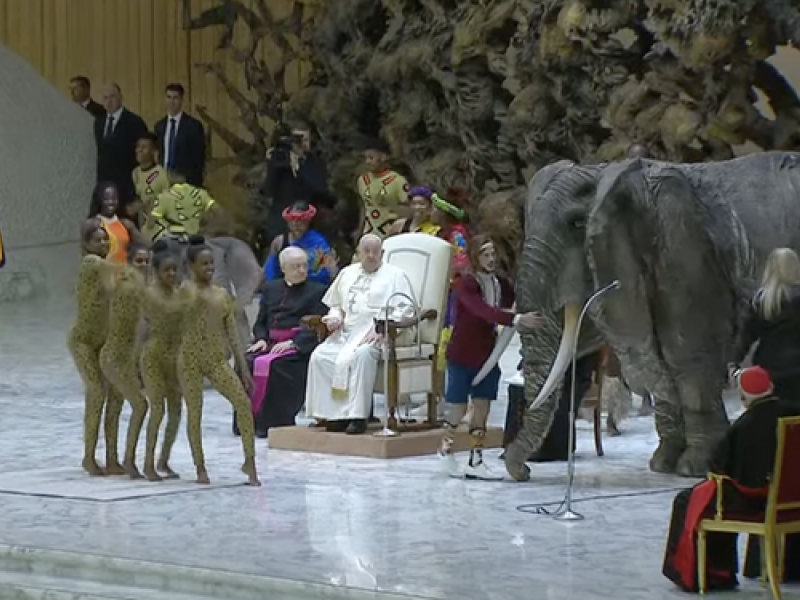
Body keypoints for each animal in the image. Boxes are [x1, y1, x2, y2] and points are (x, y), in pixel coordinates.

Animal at [482, 152, 800, 480]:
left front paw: (694, 468)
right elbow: (655, 362)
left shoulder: (684, 249)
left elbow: (686, 354)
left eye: (577, 224)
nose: (524, 472)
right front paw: (663, 465)